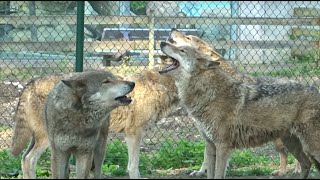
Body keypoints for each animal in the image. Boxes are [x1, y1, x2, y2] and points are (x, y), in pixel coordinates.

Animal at [10, 68, 179, 179]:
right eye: (106, 82)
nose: (132, 84)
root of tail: (31, 82)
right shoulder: (134, 132)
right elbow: (133, 167)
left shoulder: (86, 151)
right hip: (47, 141)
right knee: (28, 159)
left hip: (96, 148)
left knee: (25, 158)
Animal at [168, 28, 318, 177]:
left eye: (185, 45)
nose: (170, 34)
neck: (209, 93)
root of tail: (314, 88)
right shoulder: (210, 143)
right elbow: (208, 166)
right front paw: (200, 172)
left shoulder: (223, 146)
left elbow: (218, 173)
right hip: (290, 142)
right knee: (305, 163)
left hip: (301, 145)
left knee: (296, 159)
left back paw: (285, 171)